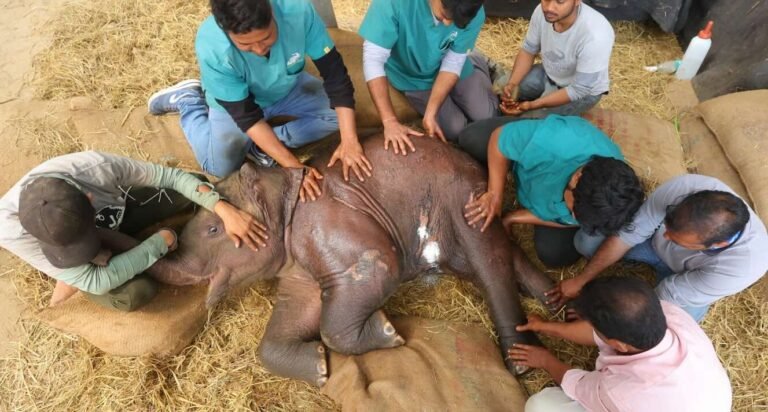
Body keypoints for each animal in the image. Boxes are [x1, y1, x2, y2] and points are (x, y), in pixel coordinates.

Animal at [161, 134, 555, 387]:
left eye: (213, 229)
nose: (167, 241)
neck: (285, 189)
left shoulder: (327, 224)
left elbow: (378, 269)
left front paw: (388, 331)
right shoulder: (299, 265)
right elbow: (299, 310)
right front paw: (320, 369)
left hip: (462, 199)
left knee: (489, 265)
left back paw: (520, 365)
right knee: (499, 252)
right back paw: (553, 300)